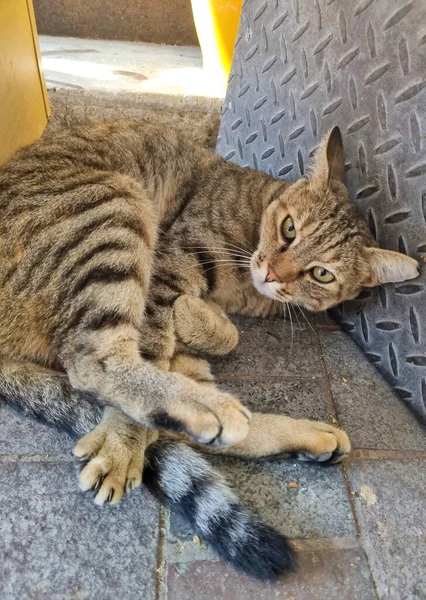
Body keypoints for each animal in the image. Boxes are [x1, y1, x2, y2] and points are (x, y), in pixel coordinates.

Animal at [0, 123, 416, 580]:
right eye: (290, 229)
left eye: (321, 274)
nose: (272, 273)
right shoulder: (167, 269)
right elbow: (165, 346)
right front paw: (123, 442)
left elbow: (211, 344)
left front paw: (203, 319)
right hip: (113, 210)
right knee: (95, 362)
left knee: (192, 426)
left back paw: (296, 434)